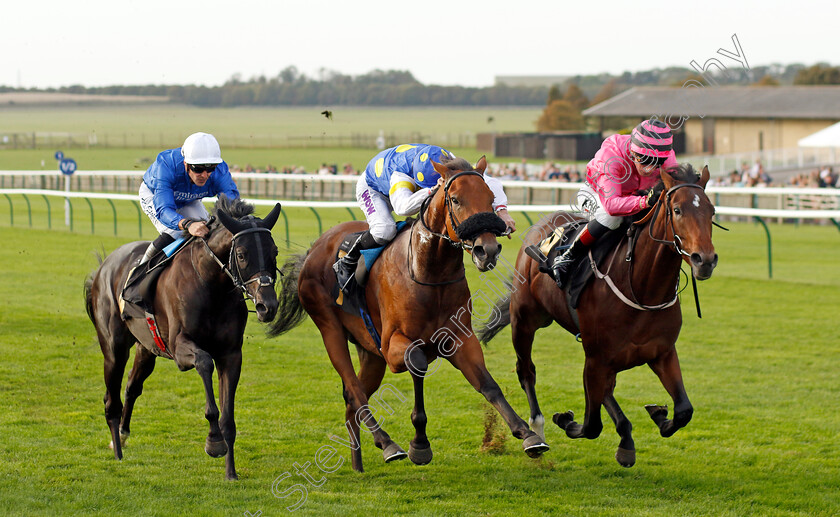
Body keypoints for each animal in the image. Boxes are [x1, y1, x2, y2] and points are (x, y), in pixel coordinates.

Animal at [84, 196, 282, 478]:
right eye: (242, 254)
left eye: (274, 251)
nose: (268, 306)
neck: (211, 285)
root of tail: (104, 266)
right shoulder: (180, 348)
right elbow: (204, 364)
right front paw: (214, 442)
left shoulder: (231, 354)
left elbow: (228, 417)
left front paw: (230, 472)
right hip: (114, 347)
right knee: (111, 399)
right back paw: (118, 452)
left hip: (148, 348)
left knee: (132, 387)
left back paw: (122, 435)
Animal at [266, 154, 548, 472]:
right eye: (455, 199)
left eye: (490, 198)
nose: (486, 250)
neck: (429, 271)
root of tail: (314, 248)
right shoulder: (393, 345)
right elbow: (418, 362)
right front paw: (419, 445)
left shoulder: (459, 339)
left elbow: (488, 385)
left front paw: (528, 434)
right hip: (331, 329)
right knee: (354, 390)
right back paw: (388, 444)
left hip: (371, 352)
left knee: (354, 399)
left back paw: (358, 463)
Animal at [476, 165, 720, 468]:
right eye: (677, 210)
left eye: (711, 211)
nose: (704, 260)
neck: (642, 289)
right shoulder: (595, 358)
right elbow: (591, 425)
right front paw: (566, 420)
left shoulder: (661, 352)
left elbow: (684, 409)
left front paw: (659, 416)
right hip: (525, 320)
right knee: (526, 371)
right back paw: (537, 431)